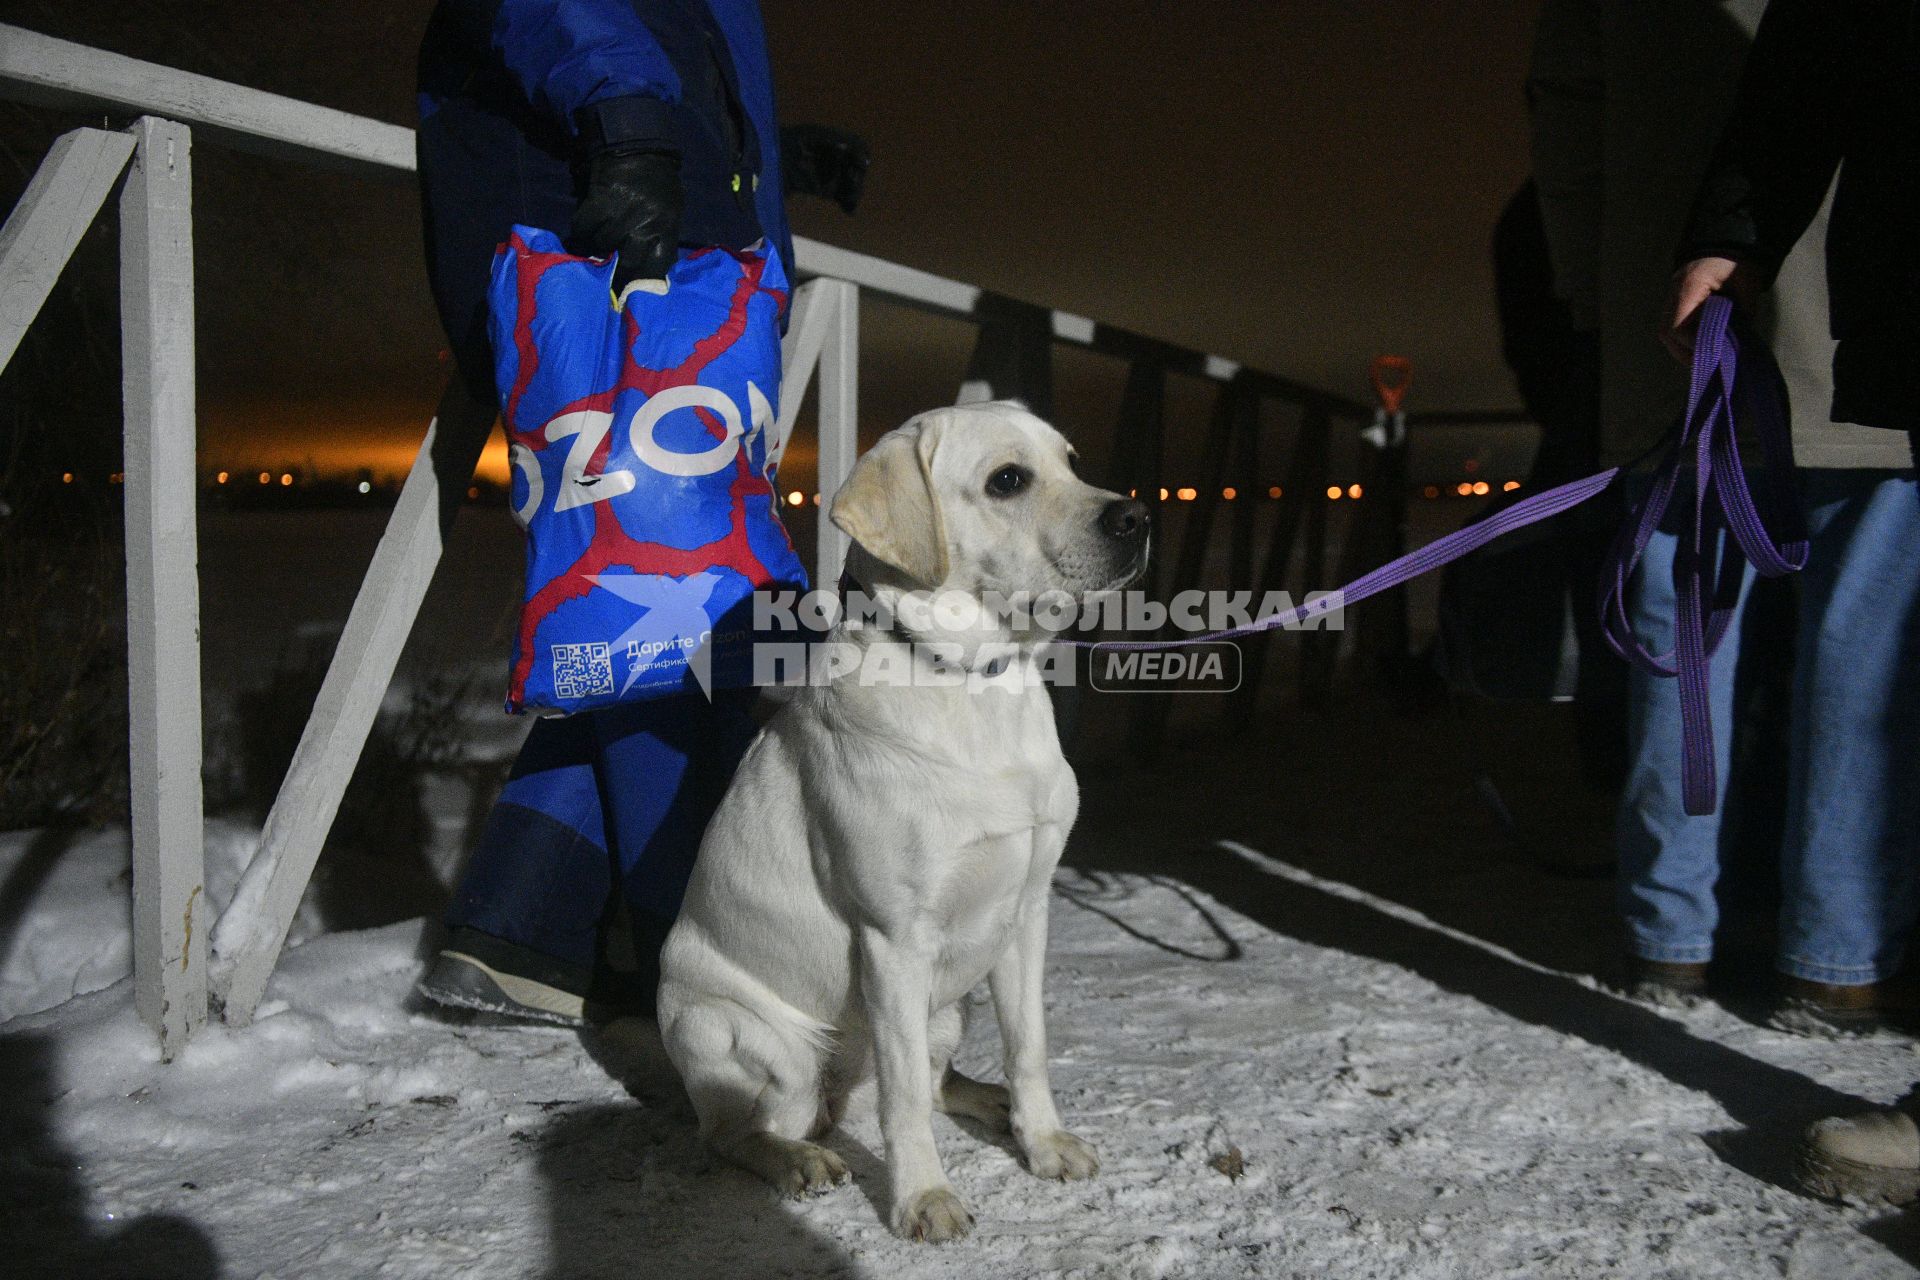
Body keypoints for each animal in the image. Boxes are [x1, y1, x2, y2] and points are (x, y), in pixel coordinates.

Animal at [660, 401, 1144, 1243]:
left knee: (940, 1077)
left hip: (947, 1012)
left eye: (1073, 461)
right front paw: (924, 1198)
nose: (1138, 517)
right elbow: (905, 1098)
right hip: (751, 1042)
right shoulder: (893, 940)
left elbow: (1028, 1049)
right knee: (735, 1132)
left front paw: (1043, 1142)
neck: (975, 688)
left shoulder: (1027, 912)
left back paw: (994, 1106)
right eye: (1007, 480)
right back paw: (801, 1161)